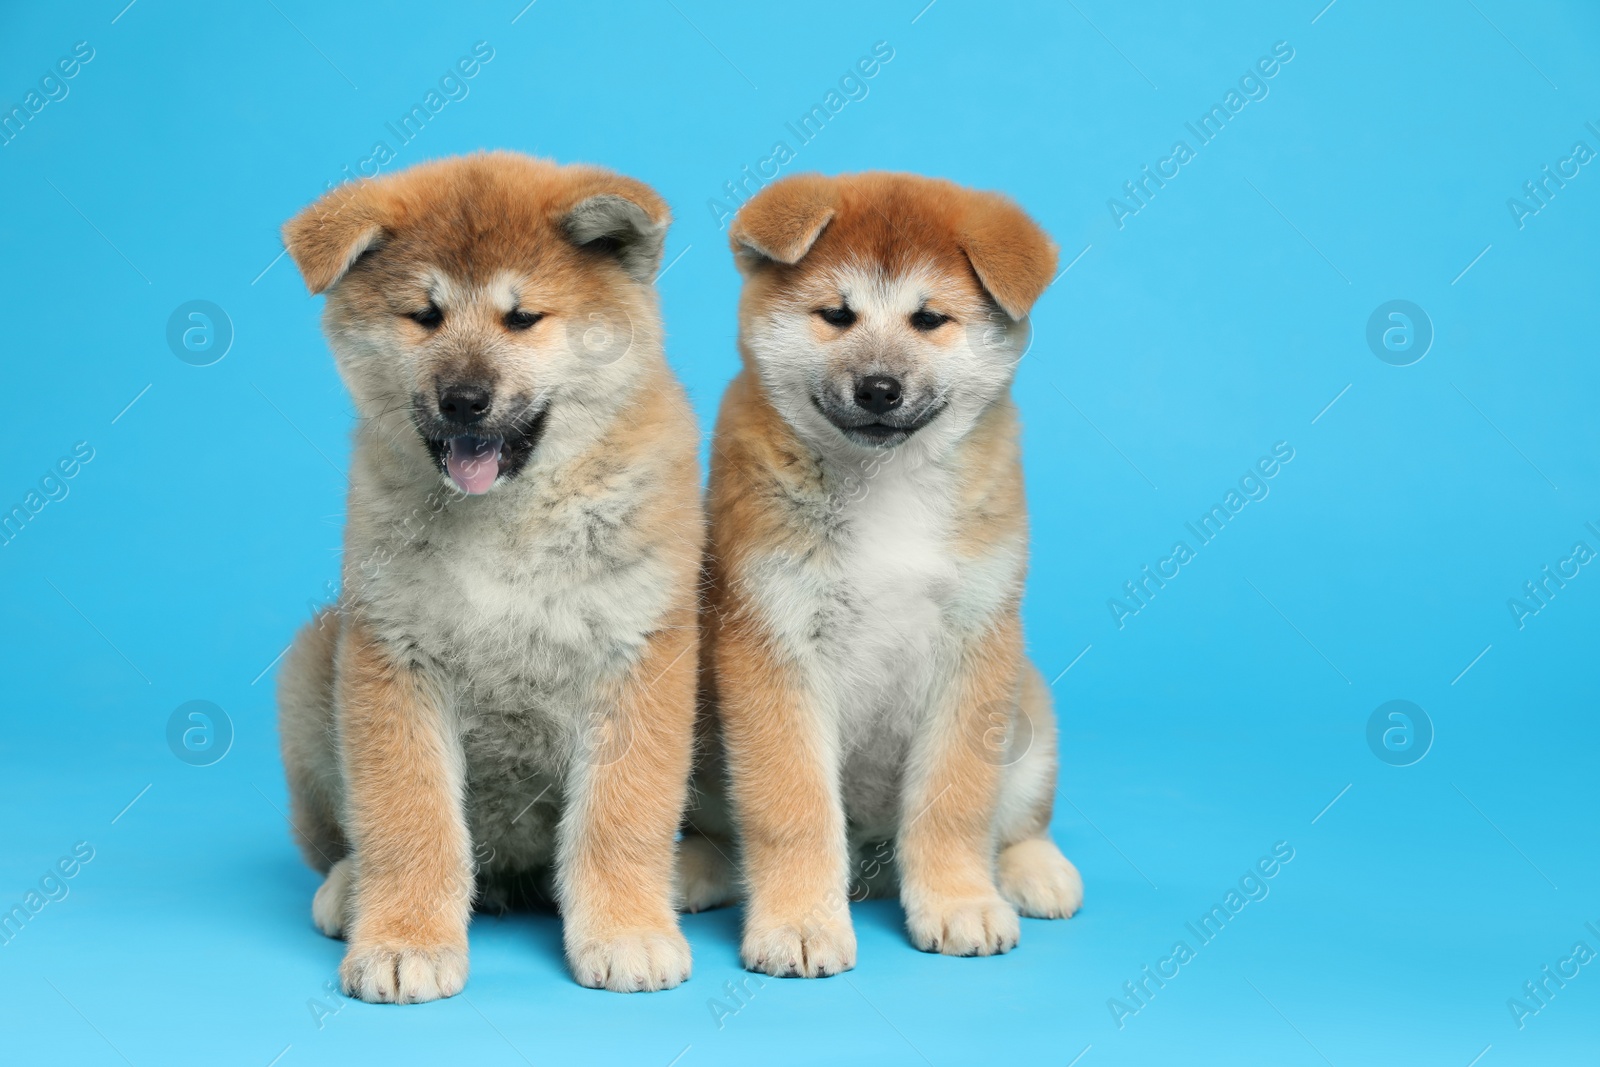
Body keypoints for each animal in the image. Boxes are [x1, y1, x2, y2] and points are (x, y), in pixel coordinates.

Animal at [275, 150, 700, 1004]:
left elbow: (620, 816)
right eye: (424, 316)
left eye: (522, 318)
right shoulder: (393, 655)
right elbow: (408, 819)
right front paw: (404, 938)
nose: (464, 398)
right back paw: (350, 885)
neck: (510, 515)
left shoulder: (639, 653)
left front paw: (628, 931)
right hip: (311, 666)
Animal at [681, 173, 1081, 979]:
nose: (878, 386)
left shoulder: (974, 642)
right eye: (838, 315)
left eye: (929, 319)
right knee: (723, 832)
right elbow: (792, 808)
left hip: (1030, 717)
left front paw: (960, 900)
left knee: (1018, 820)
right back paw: (696, 868)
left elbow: (956, 800)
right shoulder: (774, 640)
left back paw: (1033, 869)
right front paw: (800, 920)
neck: (886, 484)